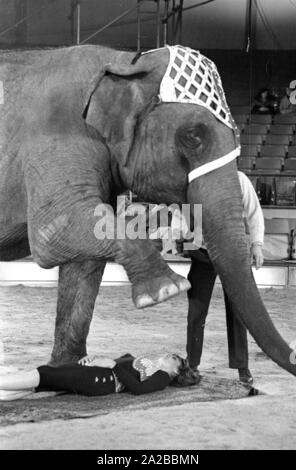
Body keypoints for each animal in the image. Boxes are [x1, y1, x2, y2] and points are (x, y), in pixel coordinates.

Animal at [0, 43, 296, 374]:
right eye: (193, 137)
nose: (294, 354)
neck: (125, 60)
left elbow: (85, 261)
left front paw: (70, 369)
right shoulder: (57, 139)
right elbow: (52, 234)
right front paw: (166, 290)